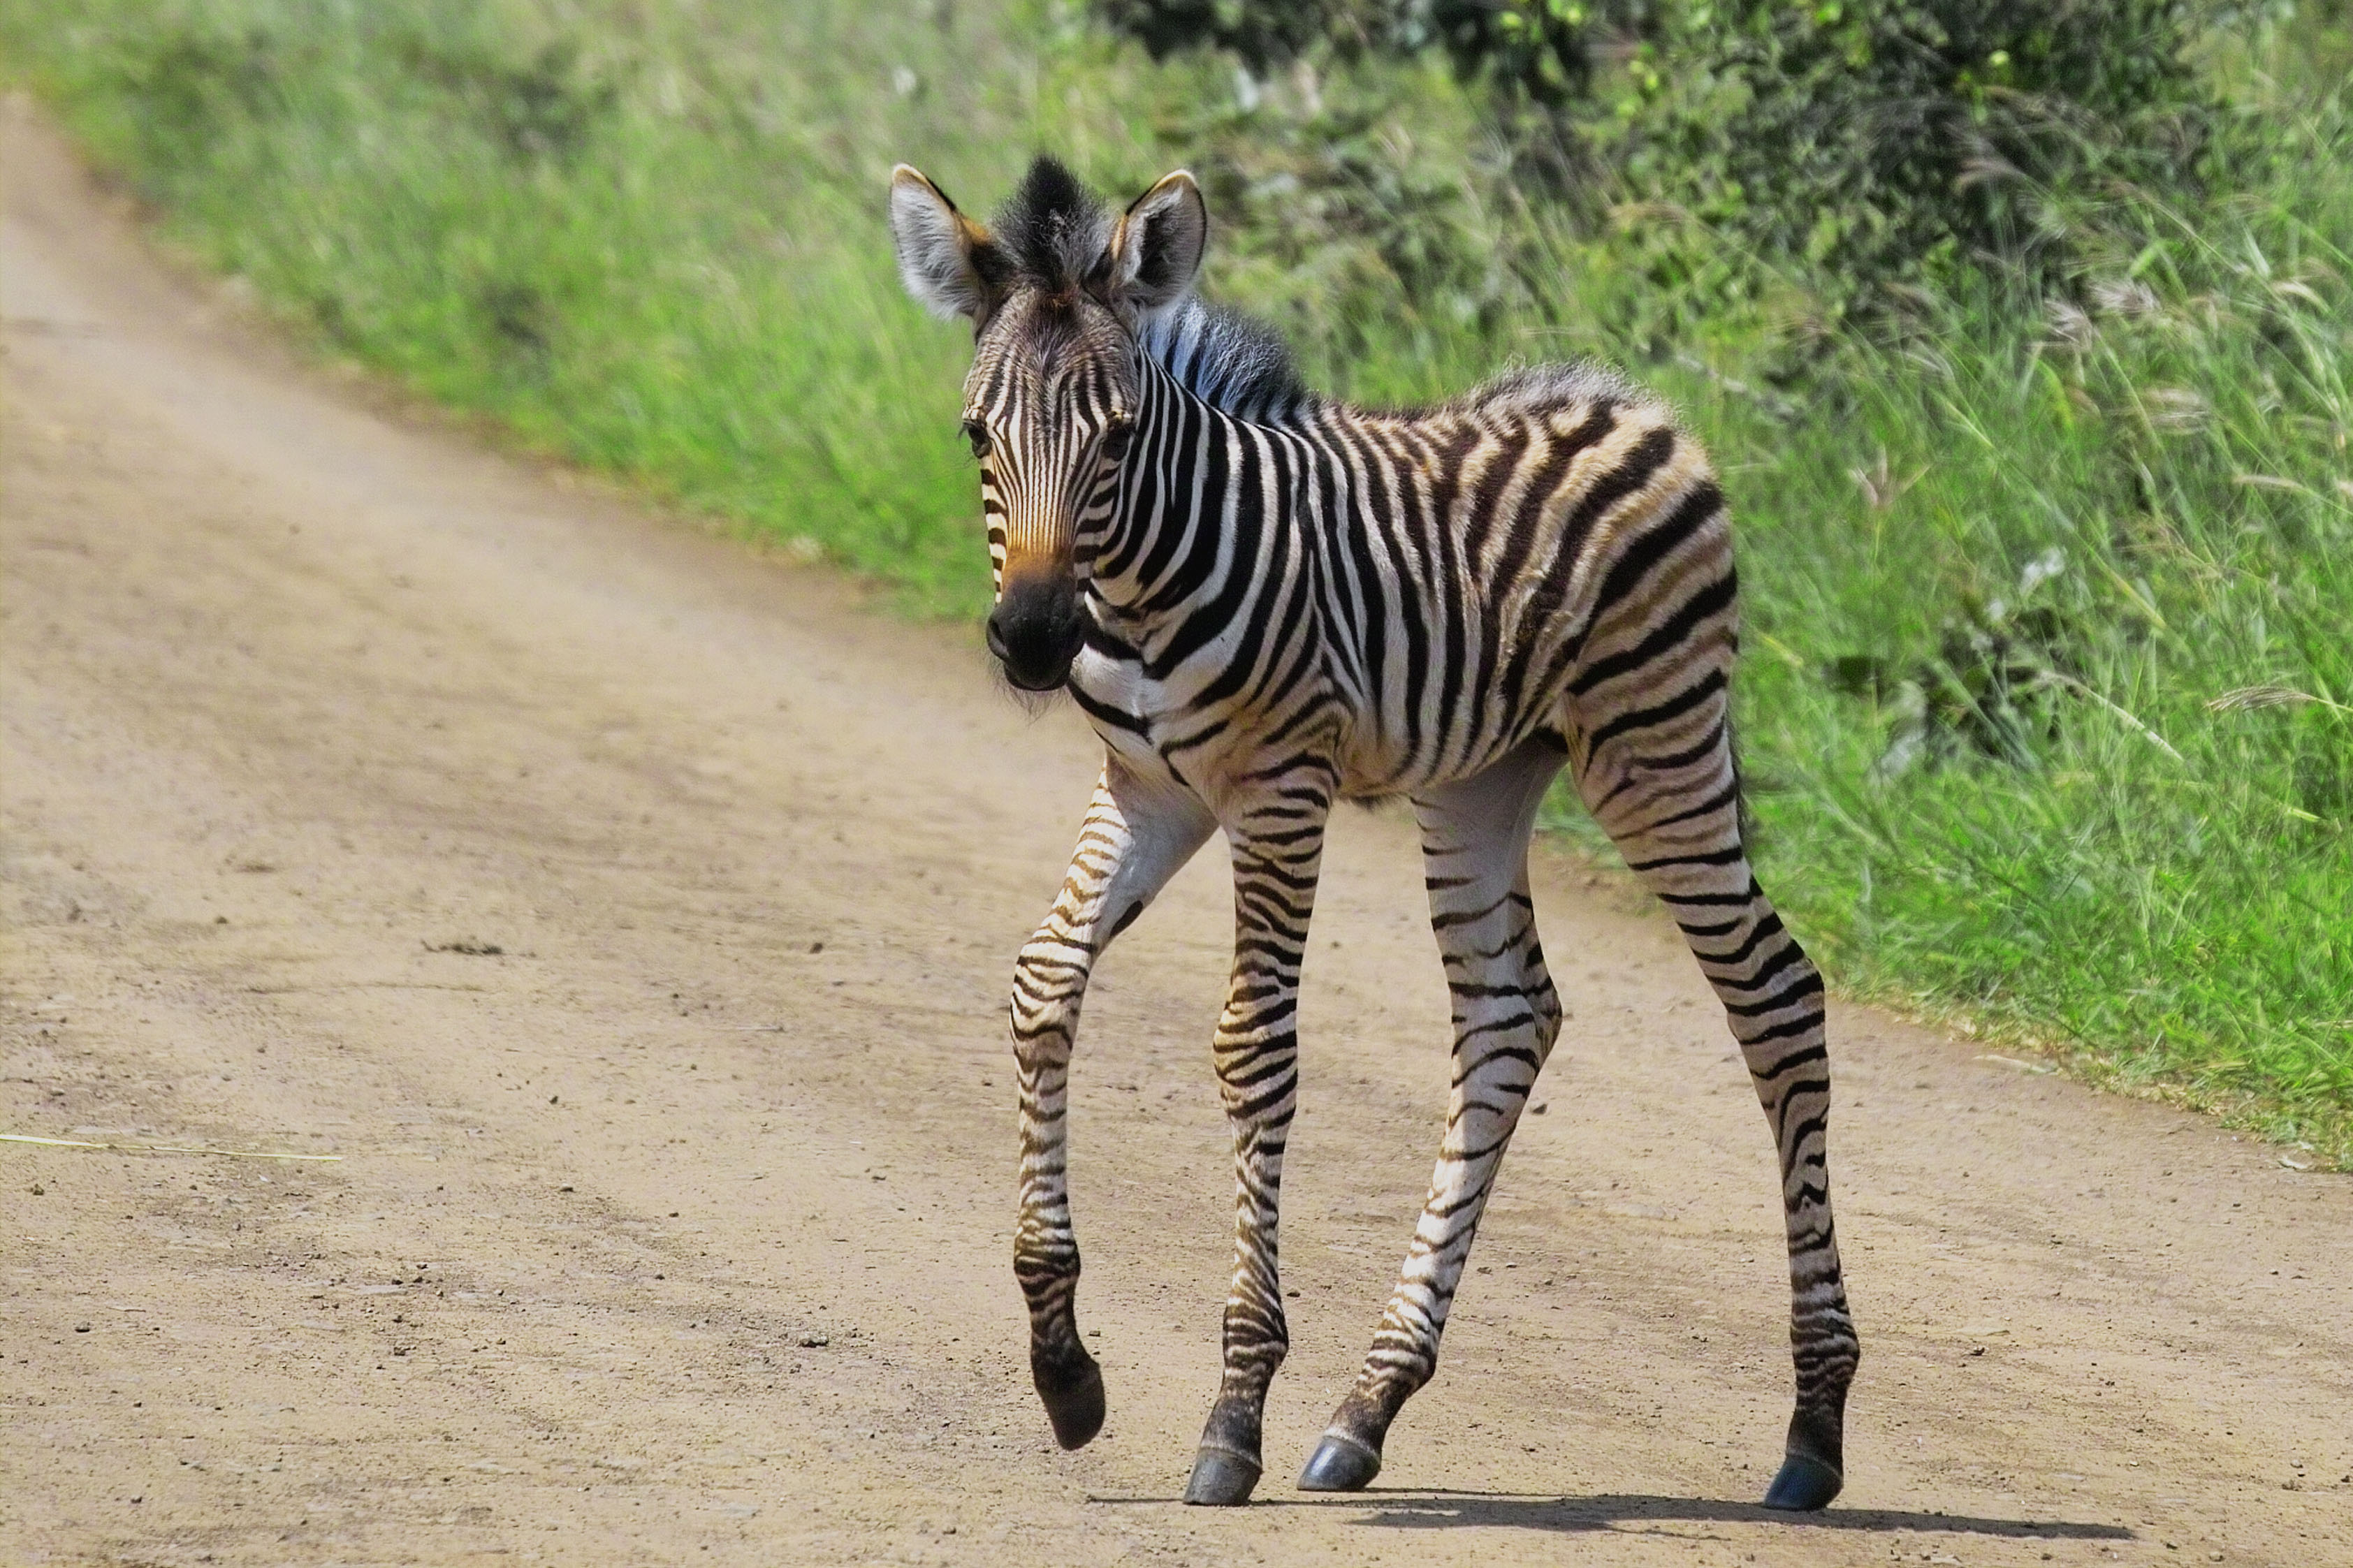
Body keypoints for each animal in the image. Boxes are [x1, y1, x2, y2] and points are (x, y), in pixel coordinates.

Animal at [888, 155, 1859, 1510]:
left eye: (1119, 438)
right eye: (979, 435)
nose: (1031, 641)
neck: (1142, 582)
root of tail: (1634, 409)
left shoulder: (1280, 788)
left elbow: (1252, 1051)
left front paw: (1232, 1413)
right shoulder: (1149, 789)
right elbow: (1043, 982)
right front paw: (1063, 1366)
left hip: (1653, 751)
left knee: (1773, 996)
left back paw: (1812, 1430)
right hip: (1482, 785)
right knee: (1508, 1018)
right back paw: (1368, 1405)